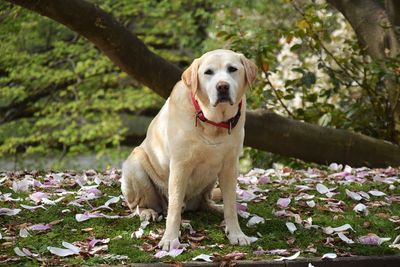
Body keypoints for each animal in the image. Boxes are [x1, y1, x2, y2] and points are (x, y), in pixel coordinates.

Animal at [121, 49, 256, 251]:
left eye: (232, 69)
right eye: (208, 72)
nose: (222, 87)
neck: (213, 123)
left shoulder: (230, 167)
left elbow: (231, 206)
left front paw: (236, 234)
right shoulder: (180, 166)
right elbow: (174, 208)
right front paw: (170, 239)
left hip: (211, 180)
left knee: (206, 202)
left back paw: (217, 208)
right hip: (135, 167)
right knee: (140, 205)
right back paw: (148, 212)